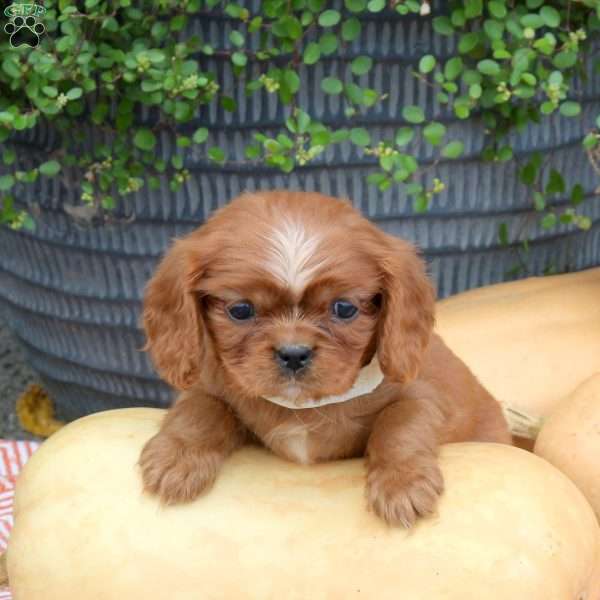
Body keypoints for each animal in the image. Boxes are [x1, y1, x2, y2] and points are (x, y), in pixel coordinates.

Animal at [138, 191, 508, 524]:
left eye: (343, 308)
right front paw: (176, 457)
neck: (301, 406)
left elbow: (400, 421)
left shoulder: (421, 395)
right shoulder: (209, 384)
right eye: (241, 310)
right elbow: (201, 408)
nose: (293, 354)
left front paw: (402, 484)